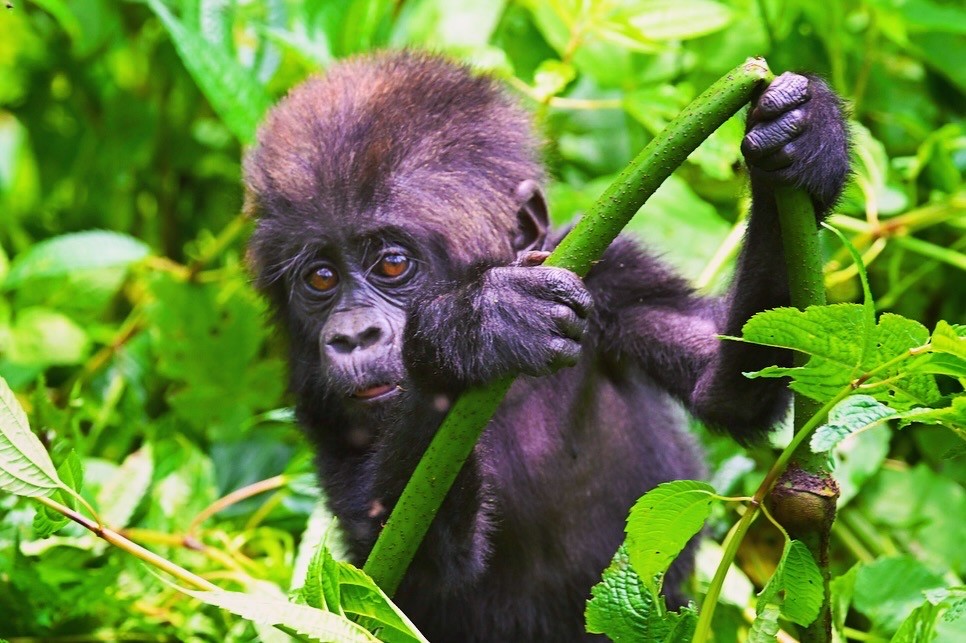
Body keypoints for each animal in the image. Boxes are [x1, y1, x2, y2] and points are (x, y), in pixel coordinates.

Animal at [243, 51, 849, 641]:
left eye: (391, 264)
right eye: (320, 279)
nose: (351, 335)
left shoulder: (611, 272)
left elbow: (729, 384)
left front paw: (808, 140)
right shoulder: (318, 404)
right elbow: (404, 566)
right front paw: (475, 328)